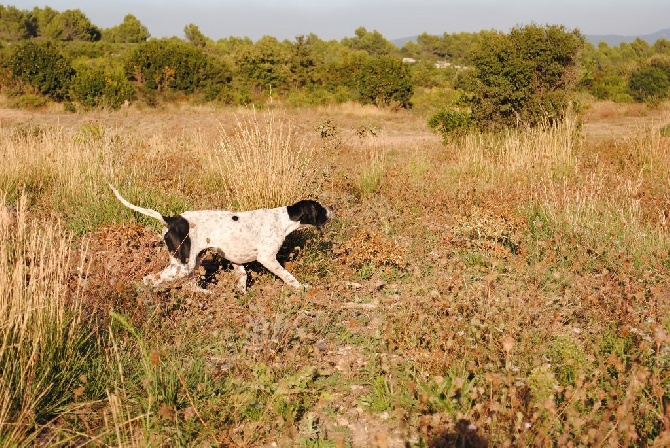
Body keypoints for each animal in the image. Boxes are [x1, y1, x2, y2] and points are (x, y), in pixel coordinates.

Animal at [109, 185, 334, 292]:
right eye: (320, 208)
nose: (332, 209)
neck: (282, 219)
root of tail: (171, 219)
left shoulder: (236, 261)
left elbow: (242, 278)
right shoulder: (267, 258)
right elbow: (288, 276)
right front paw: (302, 288)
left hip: (192, 261)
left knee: (190, 284)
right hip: (182, 265)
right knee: (149, 279)